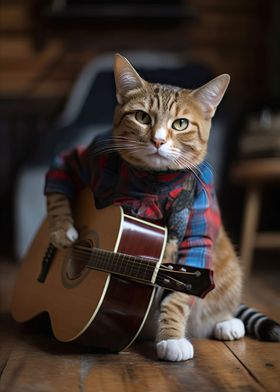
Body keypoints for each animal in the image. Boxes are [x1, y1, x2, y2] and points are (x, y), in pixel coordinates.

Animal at [45, 54, 280, 362]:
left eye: (180, 124)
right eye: (142, 117)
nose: (157, 140)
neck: (152, 182)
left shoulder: (196, 229)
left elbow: (179, 294)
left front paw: (171, 338)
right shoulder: (88, 155)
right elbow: (60, 173)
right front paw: (61, 231)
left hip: (229, 269)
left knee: (223, 304)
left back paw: (228, 323)